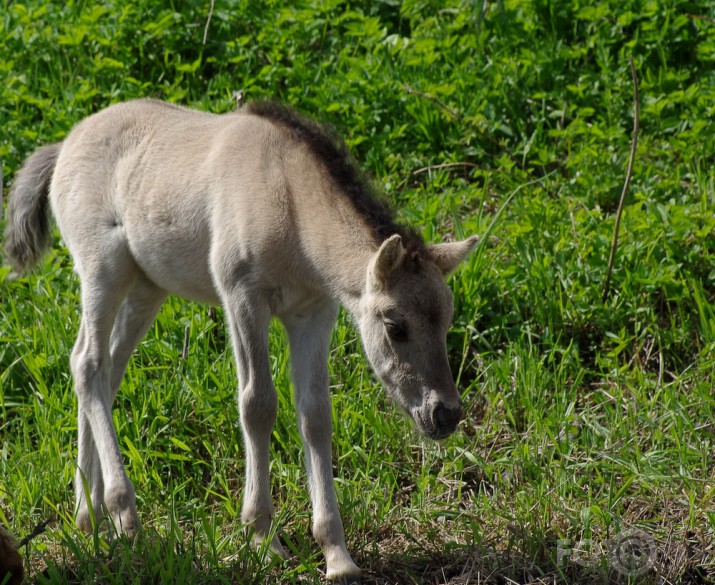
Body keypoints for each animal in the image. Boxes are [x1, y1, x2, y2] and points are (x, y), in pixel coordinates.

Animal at [5, 99, 478, 580]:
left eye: (447, 322)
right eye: (395, 326)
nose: (445, 414)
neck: (289, 202)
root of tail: (65, 144)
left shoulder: (314, 314)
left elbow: (316, 416)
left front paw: (336, 554)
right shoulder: (243, 298)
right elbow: (258, 404)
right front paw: (263, 537)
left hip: (146, 287)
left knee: (106, 369)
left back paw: (88, 514)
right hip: (102, 269)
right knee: (88, 363)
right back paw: (123, 512)